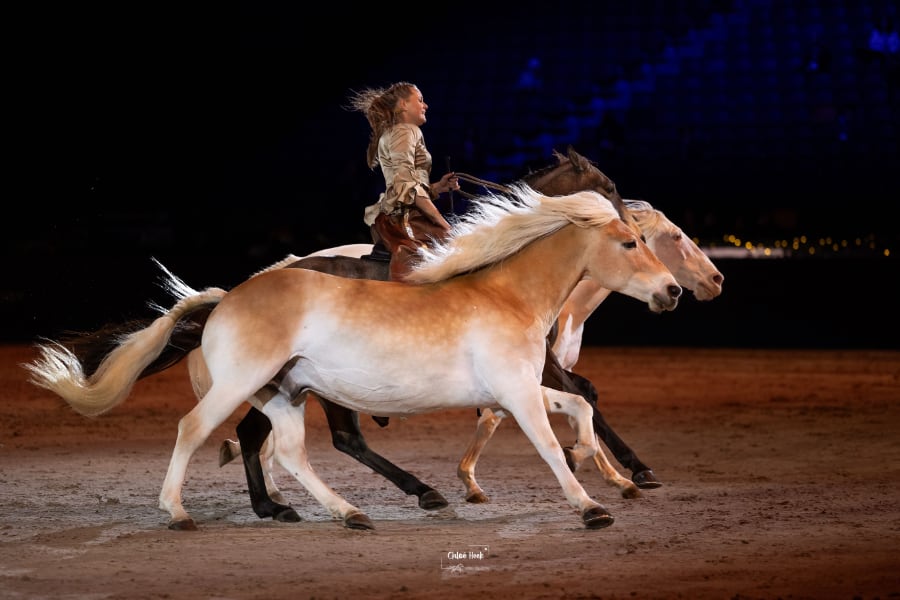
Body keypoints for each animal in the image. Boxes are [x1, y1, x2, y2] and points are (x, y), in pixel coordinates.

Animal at [24, 186, 682, 531]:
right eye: (631, 242)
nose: (672, 292)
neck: (504, 293)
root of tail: (226, 297)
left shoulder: (513, 387)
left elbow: (577, 407)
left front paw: (603, 469)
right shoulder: (517, 392)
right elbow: (548, 439)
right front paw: (591, 503)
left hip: (284, 393)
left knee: (290, 451)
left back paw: (346, 512)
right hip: (245, 384)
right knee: (196, 429)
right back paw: (180, 512)